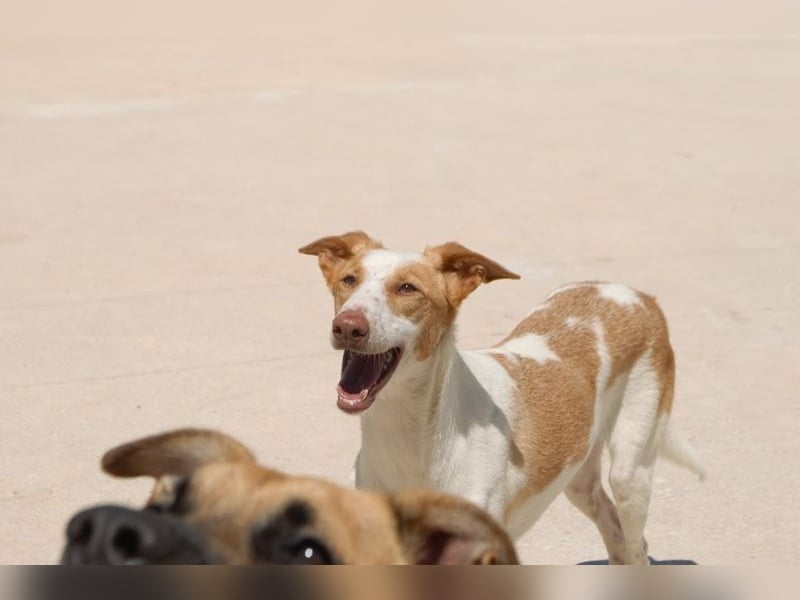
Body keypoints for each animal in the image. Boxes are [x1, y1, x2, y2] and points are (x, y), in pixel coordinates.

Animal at [302, 230, 708, 564]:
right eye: (349, 280)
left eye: (407, 288)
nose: (348, 326)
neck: (410, 440)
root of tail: (636, 294)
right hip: (579, 480)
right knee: (617, 536)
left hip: (630, 471)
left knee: (638, 546)